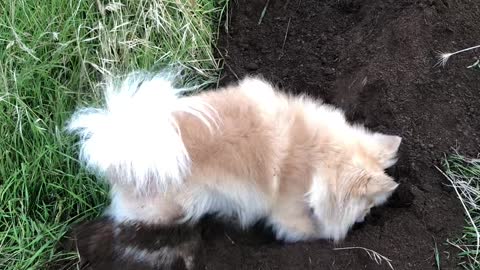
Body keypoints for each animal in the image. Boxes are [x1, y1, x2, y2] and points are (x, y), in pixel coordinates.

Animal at [66, 71, 398, 243]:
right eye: (367, 206)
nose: (365, 219)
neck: (317, 154)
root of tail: (124, 144)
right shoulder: (288, 215)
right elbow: (309, 229)